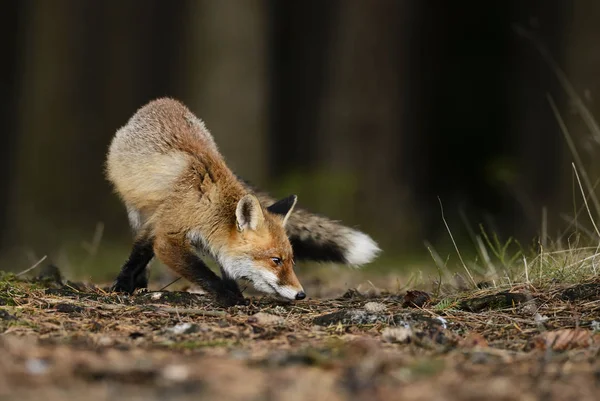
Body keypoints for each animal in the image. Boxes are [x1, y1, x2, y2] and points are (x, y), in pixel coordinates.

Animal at [106, 98, 380, 304]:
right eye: (276, 261)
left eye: (292, 261)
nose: (301, 294)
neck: (207, 207)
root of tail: (163, 101)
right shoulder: (168, 235)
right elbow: (199, 271)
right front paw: (230, 297)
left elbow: (225, 267)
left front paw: (233, 290)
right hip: (139, 211)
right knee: (141, 245)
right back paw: (131, 283)